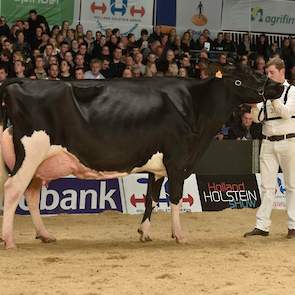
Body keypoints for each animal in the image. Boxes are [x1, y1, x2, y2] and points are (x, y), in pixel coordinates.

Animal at [0, 66, 284, 249]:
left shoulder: (157, 167)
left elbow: (151, 198)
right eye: (241, 80)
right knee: (13, 188)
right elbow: (175, 197)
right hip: (31, 151)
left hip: (40, 162)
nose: (280, 85)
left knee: (31, 195)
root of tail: (19, 81)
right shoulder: (178, 160)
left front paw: (144, 232)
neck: (195, 105)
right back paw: (9, 240)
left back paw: (45, 235)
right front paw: (179, 235)